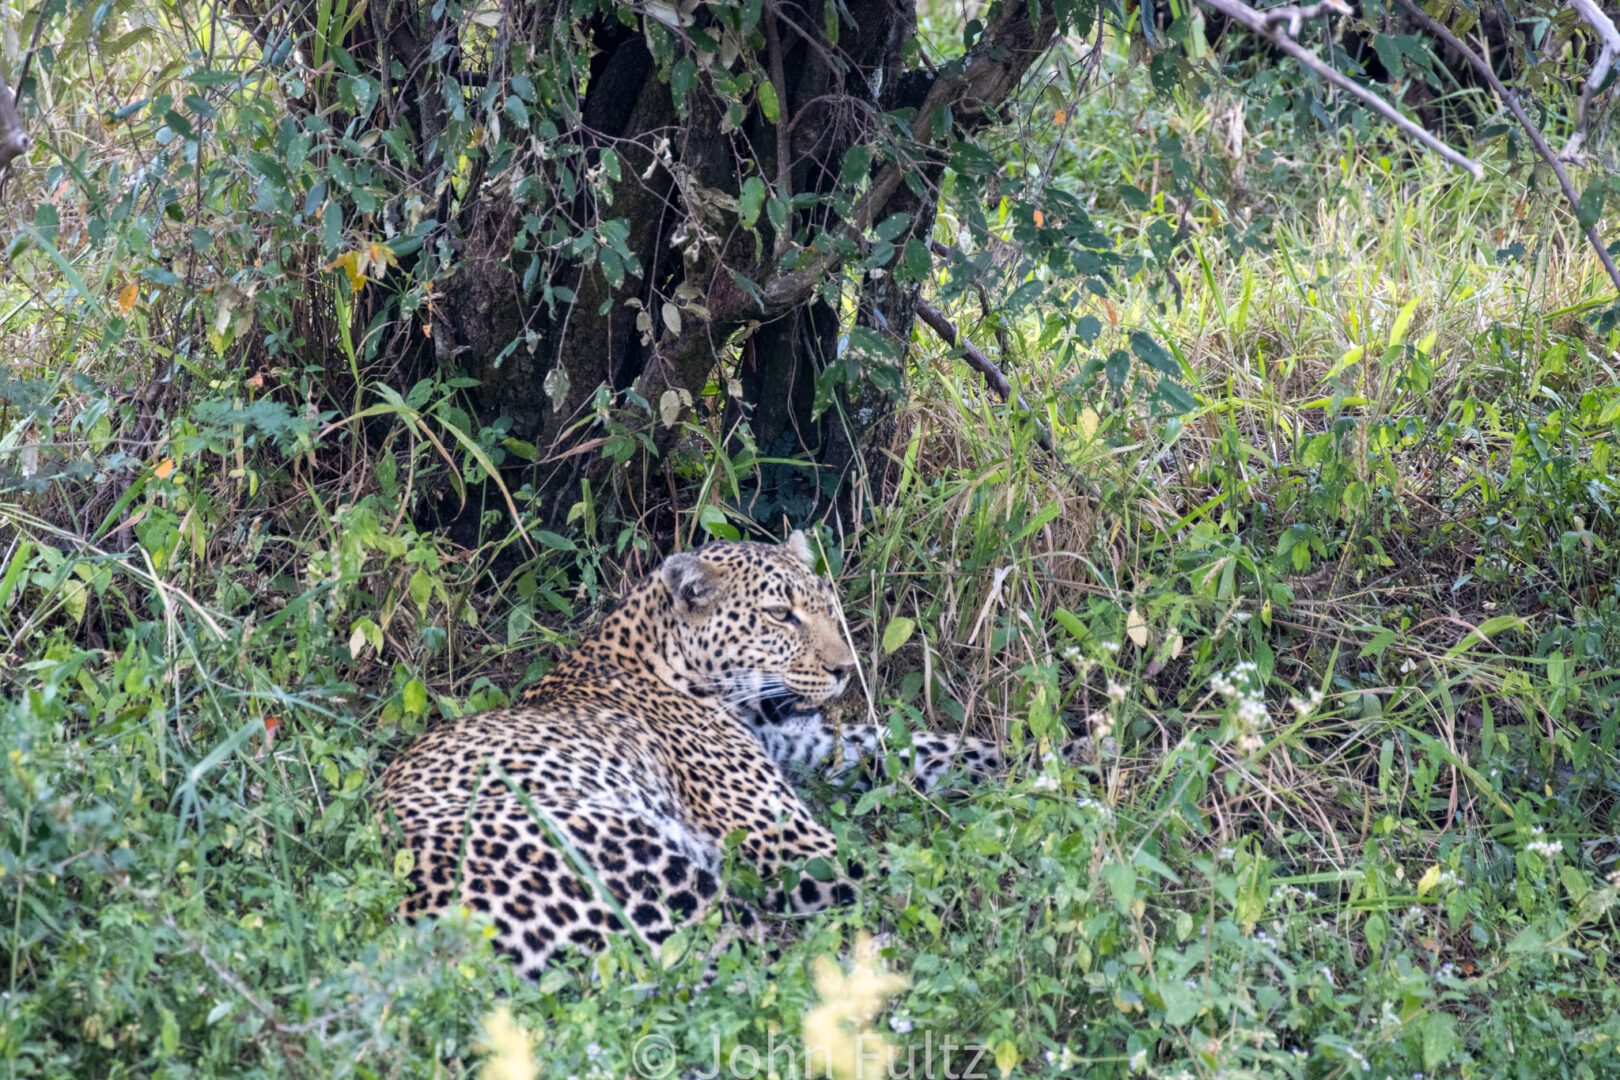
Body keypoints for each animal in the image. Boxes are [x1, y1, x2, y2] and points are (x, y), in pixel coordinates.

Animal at [377, 534, 1004, 977]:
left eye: (828, 606)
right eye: (780, 614)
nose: (845, 669)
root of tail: (416, 922)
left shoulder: (809, 746)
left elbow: (920, 747)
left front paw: (1023, 763)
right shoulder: (782, 839)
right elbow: (908, 868)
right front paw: (999, 887)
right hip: (633, 860)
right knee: (769, 968)